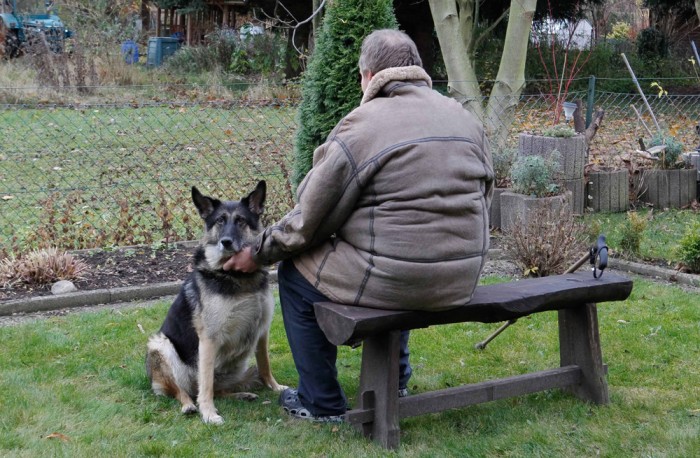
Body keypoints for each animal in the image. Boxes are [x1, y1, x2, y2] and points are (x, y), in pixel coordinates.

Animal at [145, 181, 284, 424]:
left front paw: (275, 387)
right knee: (183, 390)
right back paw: (189, 405)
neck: (238, 277)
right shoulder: (209, 339)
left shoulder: (262, 331)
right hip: (160, 345)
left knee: (216, 389)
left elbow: (265, 365)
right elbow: (206, 383)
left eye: (240, 220)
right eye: (220, 221)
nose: (225, 242)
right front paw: (208, 413)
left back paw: (241, 394)